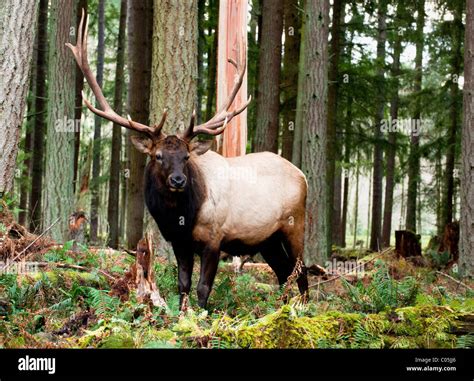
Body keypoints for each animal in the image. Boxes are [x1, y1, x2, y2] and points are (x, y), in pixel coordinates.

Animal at [68, 11, 310, 308]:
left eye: (186, 156)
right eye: (158, 156)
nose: (178, 180)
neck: (181, 216)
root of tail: (303, 176)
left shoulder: (215, 238)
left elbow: (203, 288)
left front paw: (201, 315)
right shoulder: (179, 242)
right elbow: (182, 284)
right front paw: (183, 312)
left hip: (295, 224)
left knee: (302, 271)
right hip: (268, 240)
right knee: (284, 272)